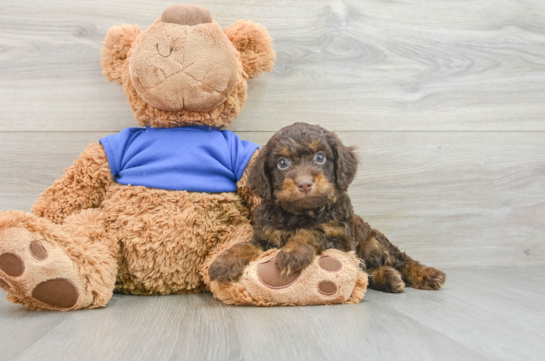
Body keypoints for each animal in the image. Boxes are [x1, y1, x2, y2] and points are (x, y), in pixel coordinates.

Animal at [209, 122, 446, 292]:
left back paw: (427, 274)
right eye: (282, 163)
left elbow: (313, 231)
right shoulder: (265, 237)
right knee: (367, 271)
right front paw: (224, 261)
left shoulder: (341, 237)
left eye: (320, 157)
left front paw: (293, 252)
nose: (305, 183)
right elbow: (245, 246)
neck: (301, 213)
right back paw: (388, 277)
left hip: (375, 243)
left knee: (401, 260)